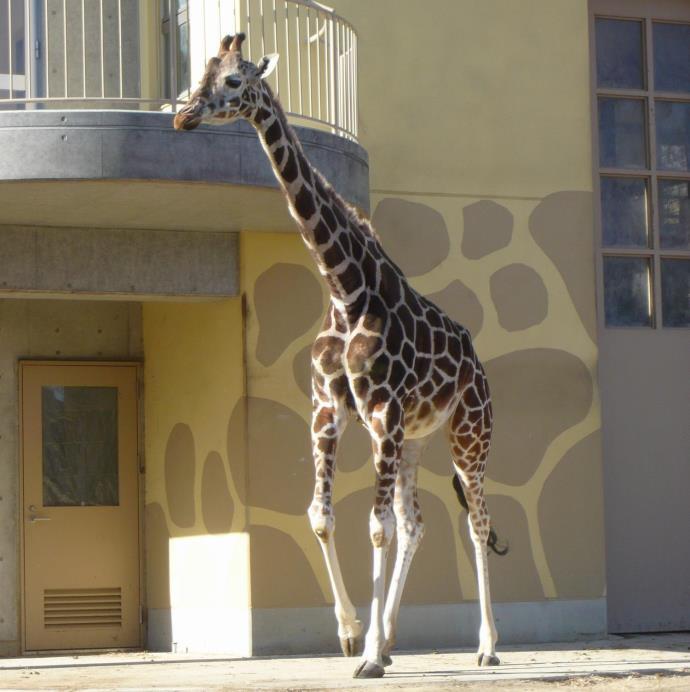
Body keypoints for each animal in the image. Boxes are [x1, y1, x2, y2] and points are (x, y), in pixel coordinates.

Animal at [172, 35, 506, 680]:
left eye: (233, 81)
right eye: (201, 71)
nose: (182, 116)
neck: (345, 289)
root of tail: (478, 362)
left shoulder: (381, 413)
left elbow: (374, 528)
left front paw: (368, 655)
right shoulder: (329, 409)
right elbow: (322, 517)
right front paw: (354, 636)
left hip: (468, 432)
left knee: (475, 522)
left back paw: (486, 645)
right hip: (416, 438)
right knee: (417, 522)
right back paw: (395, 638)